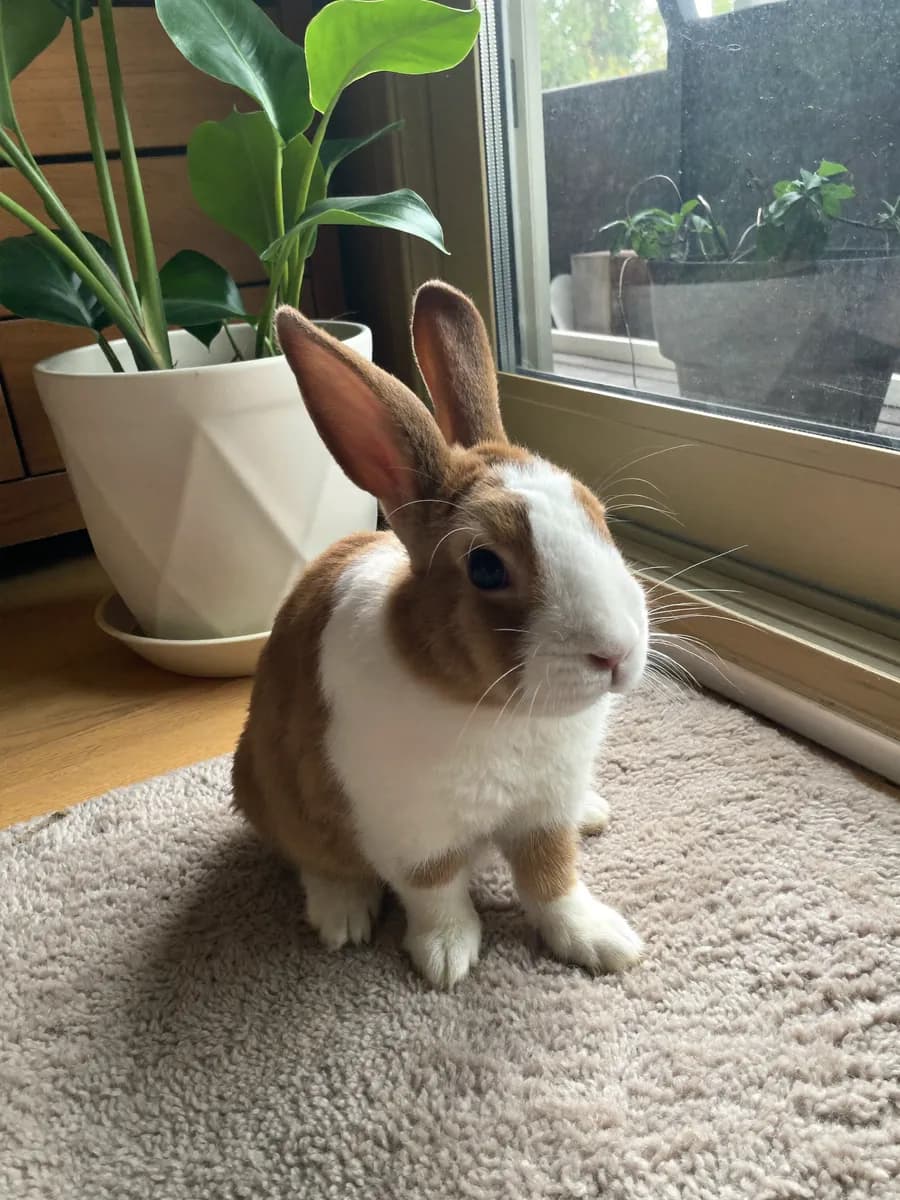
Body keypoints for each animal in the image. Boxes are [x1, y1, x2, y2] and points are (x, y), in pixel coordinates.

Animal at [232, 280, 649, 989]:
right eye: (485, 567)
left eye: (597, 516)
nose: (616, 653)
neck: (499, 710)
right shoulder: (412, 833)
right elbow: (436, 891)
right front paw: (448, 959)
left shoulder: (545, 810)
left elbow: (553, 880)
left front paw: (600, 941)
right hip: (273, 789)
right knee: (312, 854)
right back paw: (342, 915)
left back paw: (594, 813)